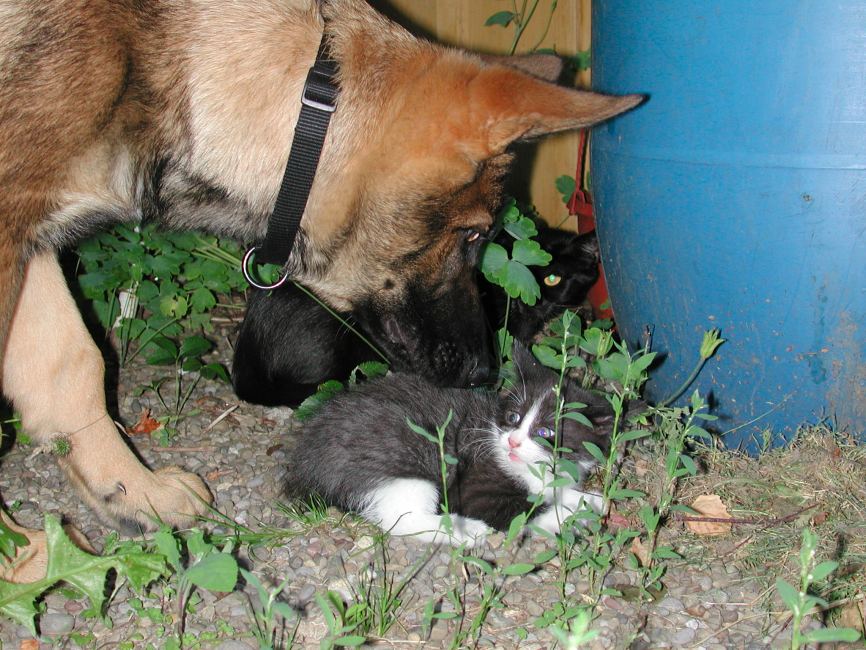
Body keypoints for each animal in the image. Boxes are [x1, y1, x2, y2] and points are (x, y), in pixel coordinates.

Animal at [286, 342, 616, 544]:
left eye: (546, 432)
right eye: (513, 416)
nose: (512, 441)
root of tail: (306, 459)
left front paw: (591, 500)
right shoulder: (477, 485)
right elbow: (526, 512)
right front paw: (577, 513)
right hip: (407, 453)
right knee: (400, 520)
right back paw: (465, 529)